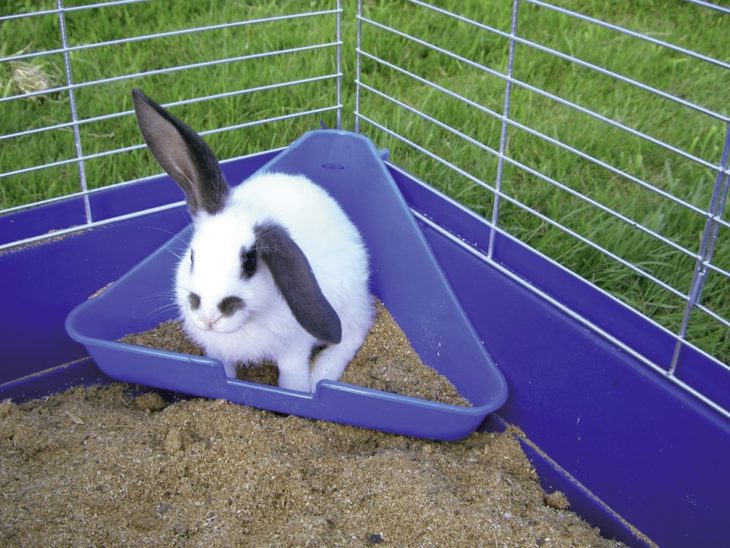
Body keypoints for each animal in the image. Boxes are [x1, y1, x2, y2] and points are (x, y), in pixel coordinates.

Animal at [131, 88, 374, 393]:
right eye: (192, 257)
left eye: (249, 263)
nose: (209, 316)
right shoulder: (217, 353)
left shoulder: (293, 352)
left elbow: (291, 382)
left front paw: (300, 392)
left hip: (352, 305)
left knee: (353, 334)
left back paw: (321, 373)